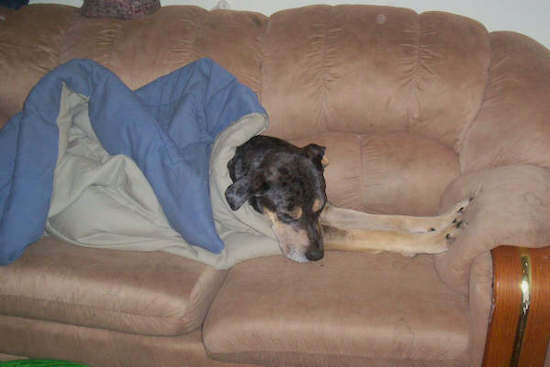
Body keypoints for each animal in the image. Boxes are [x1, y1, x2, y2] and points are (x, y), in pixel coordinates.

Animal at [224, 137, 470, 264]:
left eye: (319, 208)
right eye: (286, 215)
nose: (316, 256)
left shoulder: (327, 212)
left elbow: (391, 219)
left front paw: (443, 219)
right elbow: (375, 234)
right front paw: (435, 239)